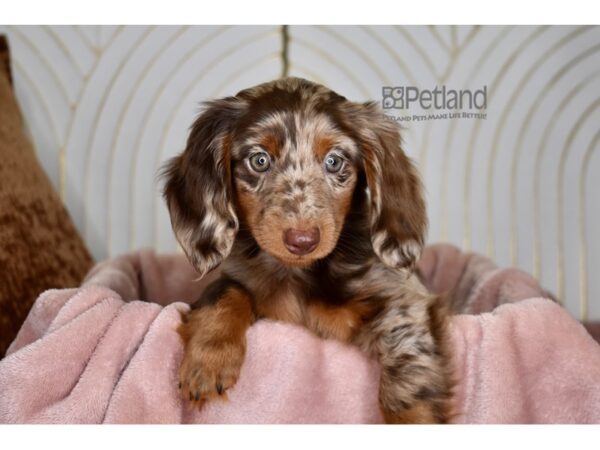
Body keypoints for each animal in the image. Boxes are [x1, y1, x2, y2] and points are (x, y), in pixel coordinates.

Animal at [162, 76, 452, 422]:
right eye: (259, 160)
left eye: (334, 161)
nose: (302, 240)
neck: (299, 274)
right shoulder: (243, 283)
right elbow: (224, 291)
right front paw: (208, 359)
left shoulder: (406, 304)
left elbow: (409, 383)